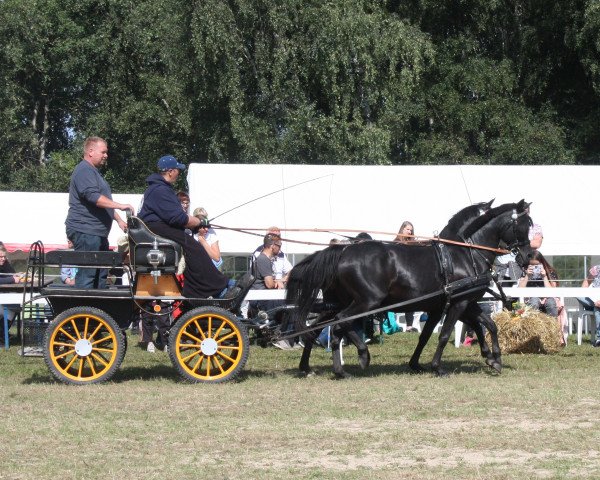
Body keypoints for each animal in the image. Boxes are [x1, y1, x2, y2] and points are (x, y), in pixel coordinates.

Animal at [288, 200, 536, 378]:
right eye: (524, 225)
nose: (528, 257)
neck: (465, 253)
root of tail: (342, 251)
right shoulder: (459, 303)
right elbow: (445, 334)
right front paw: (438, 367)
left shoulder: (458, 304)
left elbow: (485, 326)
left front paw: (493, 359)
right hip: (367, 302)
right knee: (341, 323)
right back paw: (359, 357)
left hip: (338, 302)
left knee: (318, 328)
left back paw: (316, 368)